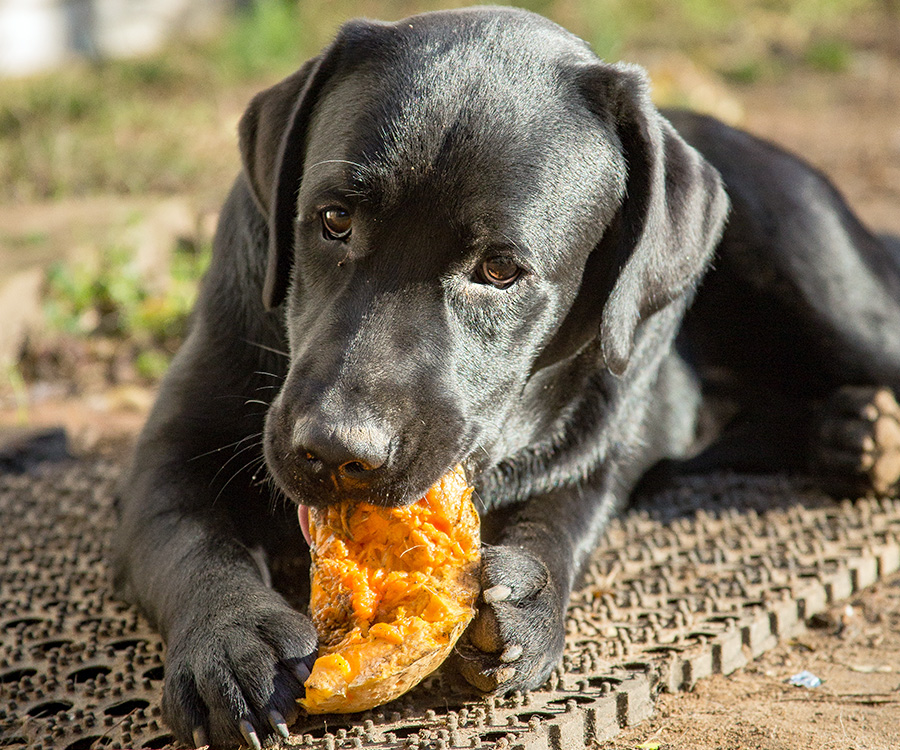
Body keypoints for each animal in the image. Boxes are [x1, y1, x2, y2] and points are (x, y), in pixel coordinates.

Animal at [112, 7, 900, 750]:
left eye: (499, 269)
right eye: (332, 219)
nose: (337, 450)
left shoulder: (601, 445)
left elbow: (558, 520)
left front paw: (527, 598)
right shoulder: (174, 450)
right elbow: (193, 545)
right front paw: (232, 646)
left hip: (817, 269)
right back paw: (849, 432)